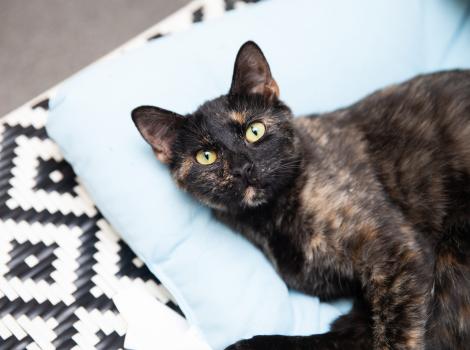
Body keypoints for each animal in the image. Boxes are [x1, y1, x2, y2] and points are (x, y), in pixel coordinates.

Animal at [130, 41, 470, 350]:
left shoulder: (398, 253)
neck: (274, 219)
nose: (242, 168)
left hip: (452, 253)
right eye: (206, 156)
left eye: (254, 130)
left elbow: (393, 337)